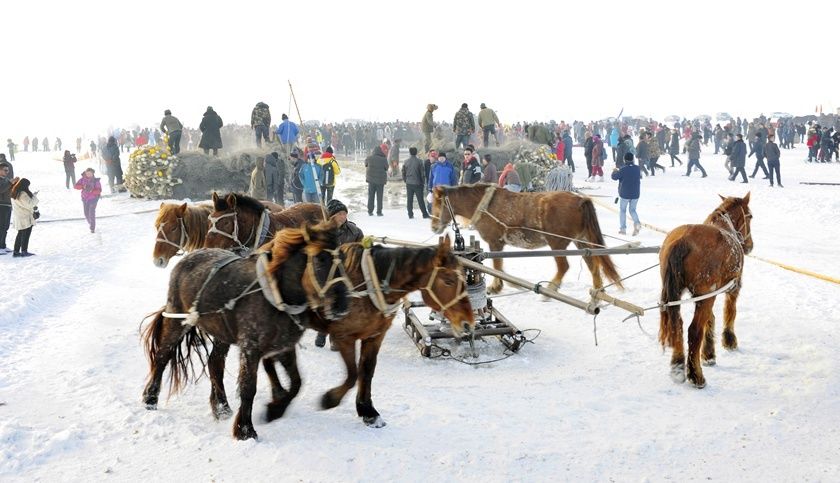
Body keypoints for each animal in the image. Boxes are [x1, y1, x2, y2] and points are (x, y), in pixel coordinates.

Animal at [143, 221, 346, 440]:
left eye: (343, 258)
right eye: (320, 259)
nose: (341, 306)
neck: (276, 293)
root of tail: (188, 258)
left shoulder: (283, 348)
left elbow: (297, 383)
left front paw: (275, 410)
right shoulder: (251, 349)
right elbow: (249, 388)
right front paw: (245, 429)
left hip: (221, 332)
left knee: (215, 364)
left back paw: (222, 407)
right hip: (177, 319)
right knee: (163, 356)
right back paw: (150, 398)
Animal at [270, 236, 480, 430]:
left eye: (465, 277)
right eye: (448, 280)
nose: (467, 322)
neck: (369, 282)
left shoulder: (375, 336)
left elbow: (367, 371)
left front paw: (368, 411)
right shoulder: (343, 337)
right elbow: (353, 374)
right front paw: (331, 399)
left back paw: (278, 394)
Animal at [434, 183, 624, 294]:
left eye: (438, 203)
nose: (434, 226)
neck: (484, 205)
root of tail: (580, 199)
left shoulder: (495, 242)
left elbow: (496, 266)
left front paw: (496, 286)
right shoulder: (499, 245)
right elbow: (500, 266)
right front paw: (508, 284)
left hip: (557, 242)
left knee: (564, 266)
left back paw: (551, 288)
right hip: (581, 241)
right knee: (592, 264)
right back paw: (598, 291)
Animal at [660, 193, 756, 390]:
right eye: (750, 216)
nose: (749, 246)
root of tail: (682, 240)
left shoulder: (707, 294)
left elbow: (710, 319)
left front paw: (708, 354)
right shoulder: (732, 287)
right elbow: (730, 311)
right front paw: (729, 341)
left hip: (678, 295)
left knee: (677, 325)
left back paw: (678, 366)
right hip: (706, 295)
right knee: (693, 331)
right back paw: (696, 375)